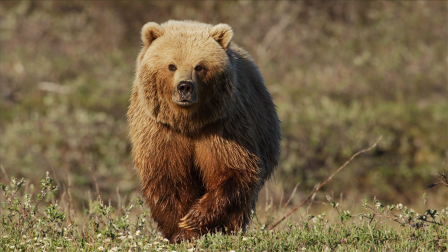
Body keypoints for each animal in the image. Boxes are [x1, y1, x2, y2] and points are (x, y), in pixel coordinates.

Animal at [126, 20, 280, 243]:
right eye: (172, 65)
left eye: (199, 66)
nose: (185, 87)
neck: (188, 123)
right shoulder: (161, 133)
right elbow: (168, 180)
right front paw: (181, 231)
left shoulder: (223, 129)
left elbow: (233, 171)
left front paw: (194, 218)